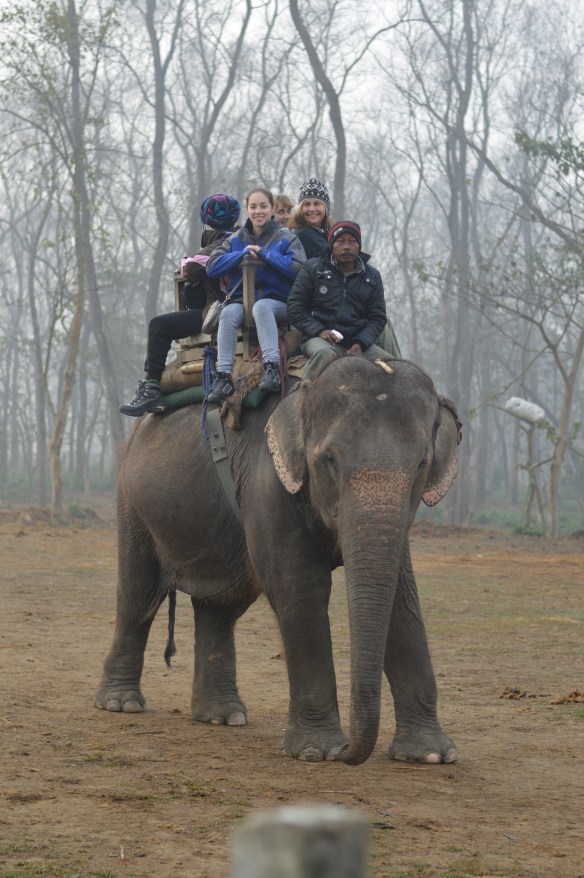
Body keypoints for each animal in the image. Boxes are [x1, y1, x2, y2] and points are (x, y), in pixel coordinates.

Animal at [95, 356, 462, 766]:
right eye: (329, 460)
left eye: (421, 464)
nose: (349, 752)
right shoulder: (268, 479)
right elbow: (301, 587)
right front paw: (318, 751)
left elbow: (401, 595)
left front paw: (431, 755)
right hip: (132, 505)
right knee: (138, 597)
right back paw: (121, 704)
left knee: (221, 607)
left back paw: (222, 716)